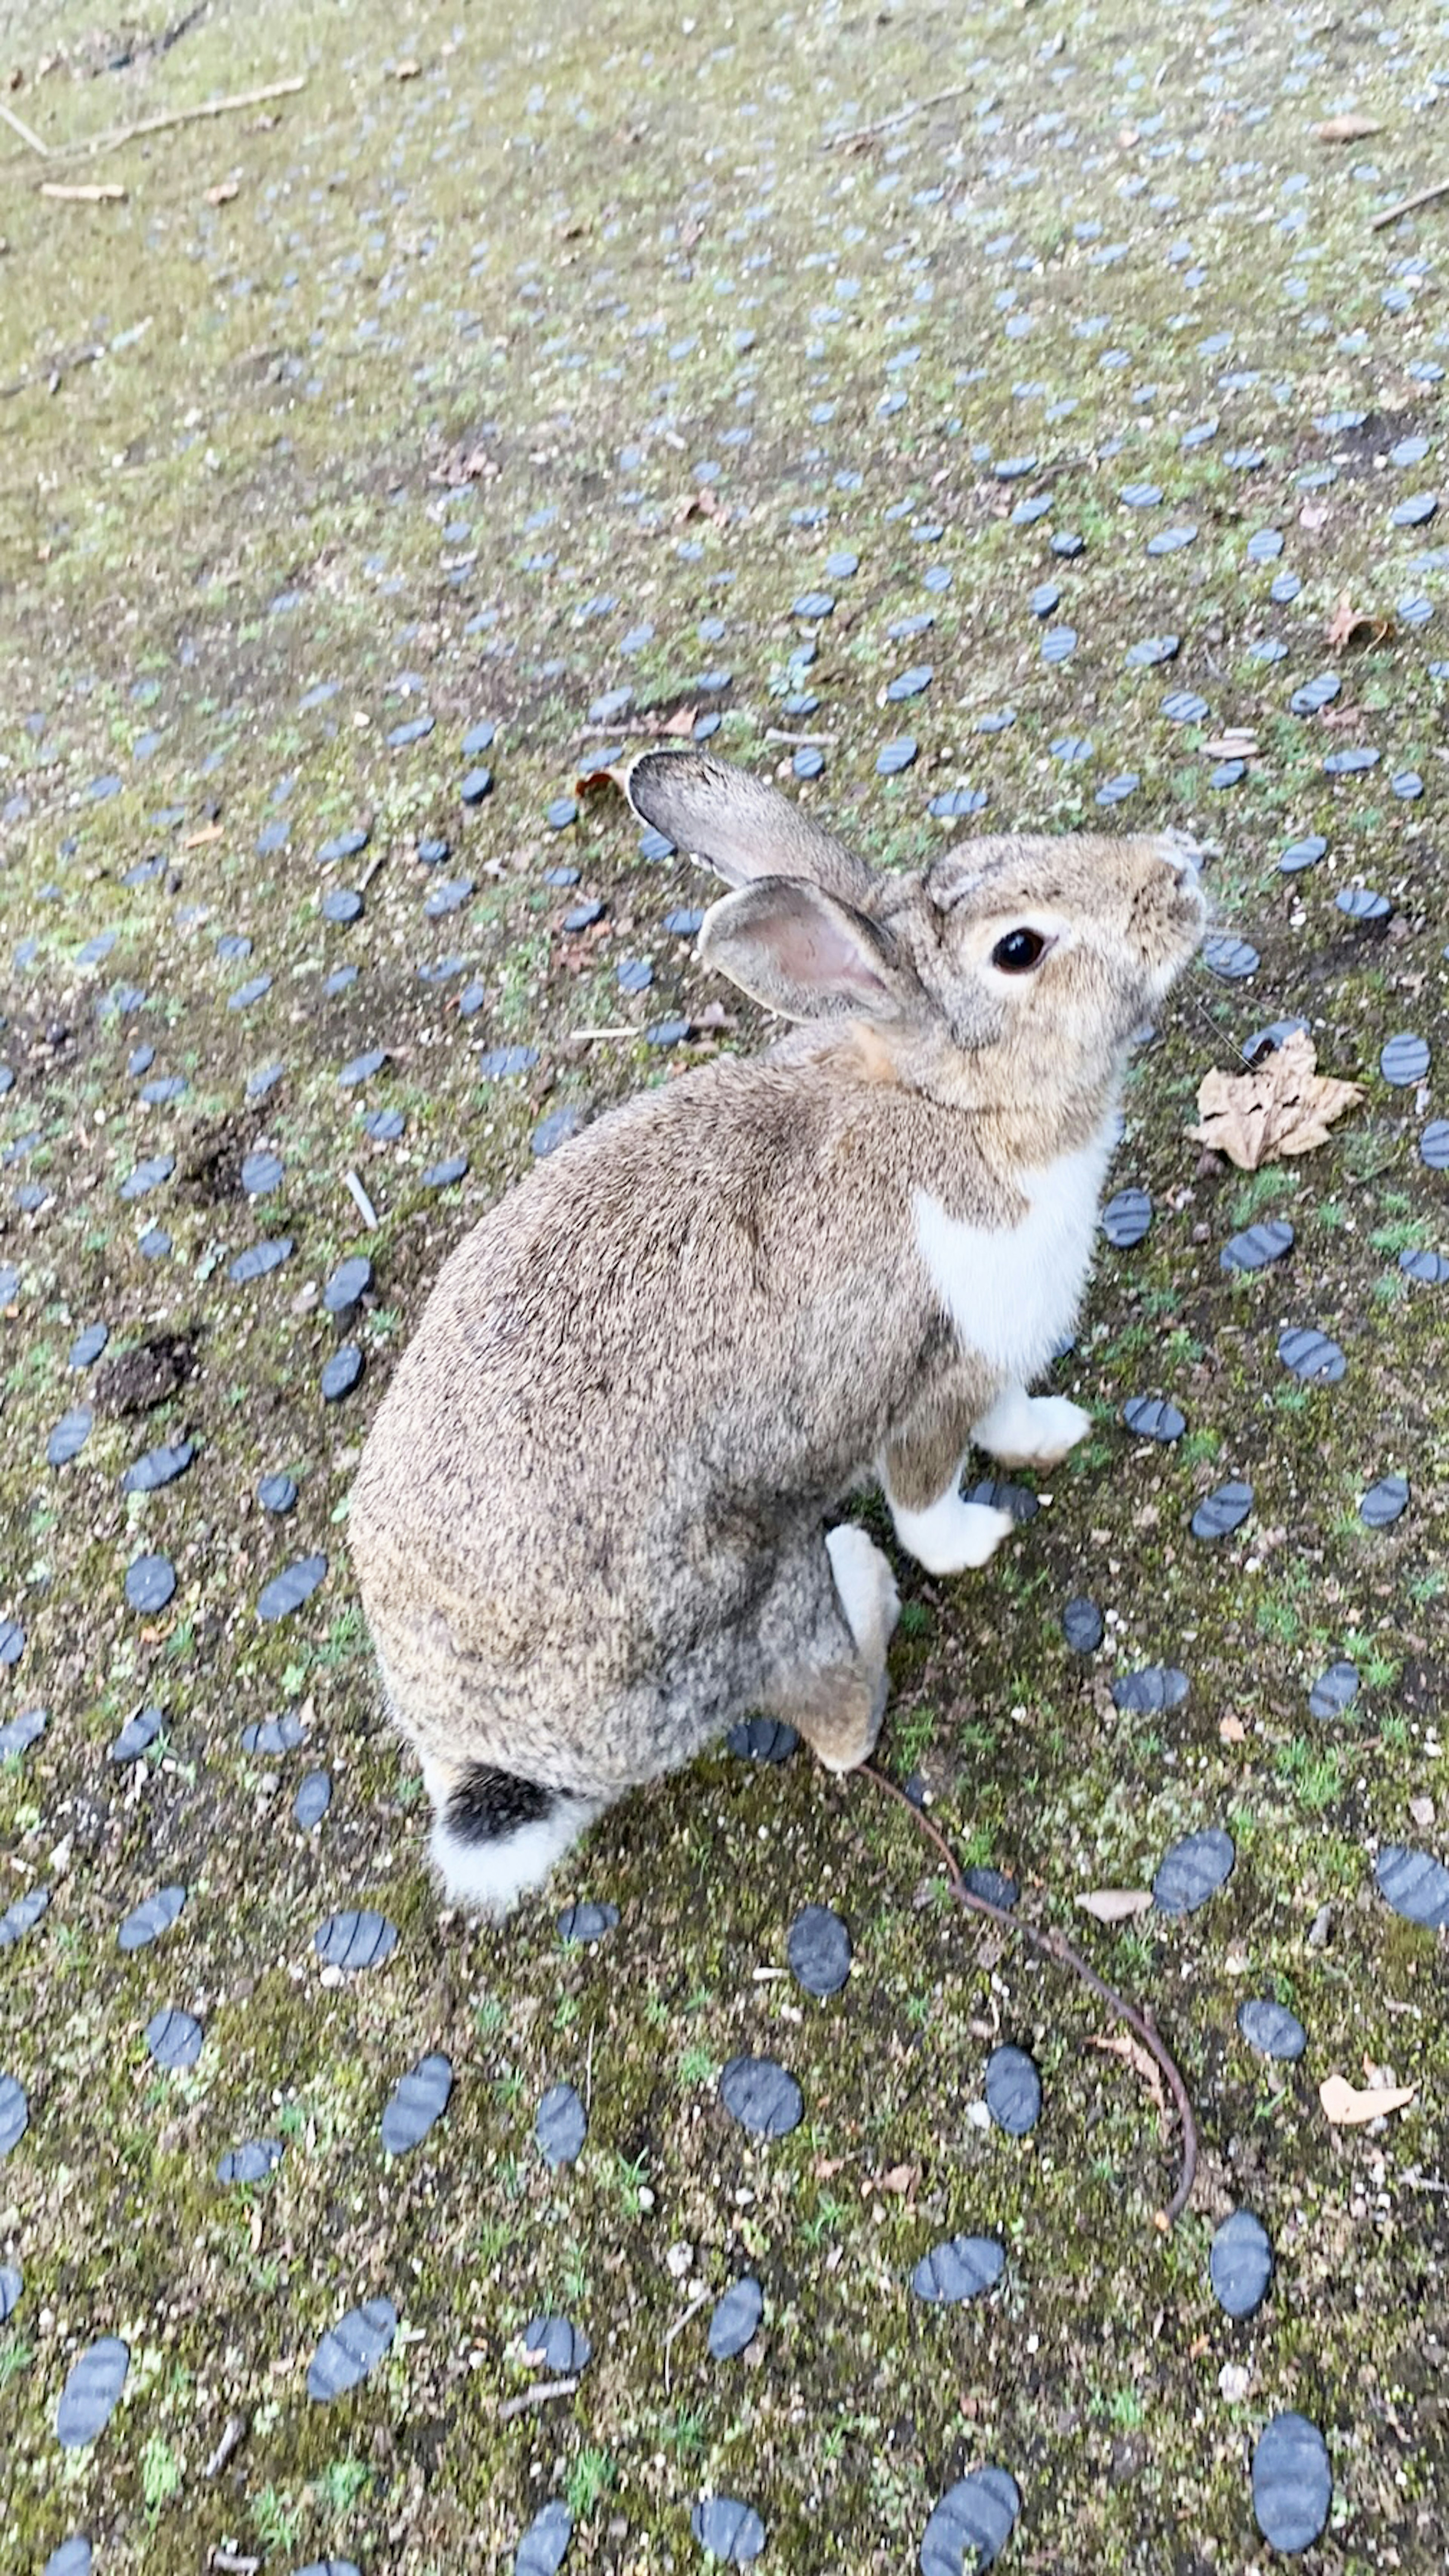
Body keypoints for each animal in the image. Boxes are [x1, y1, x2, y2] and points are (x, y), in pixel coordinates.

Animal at [351, 747, 1206, 1916]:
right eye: (1019, 948)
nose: (1180, 869)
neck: (956, 1107)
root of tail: (501, 1760)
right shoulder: (930, 1381)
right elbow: (930, 1497)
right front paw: (974, 1538)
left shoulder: (991, 1361)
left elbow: (1013, 1412)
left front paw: (1052, 1434)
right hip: (753, 1590)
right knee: (841, 1724)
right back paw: (867, 1589)